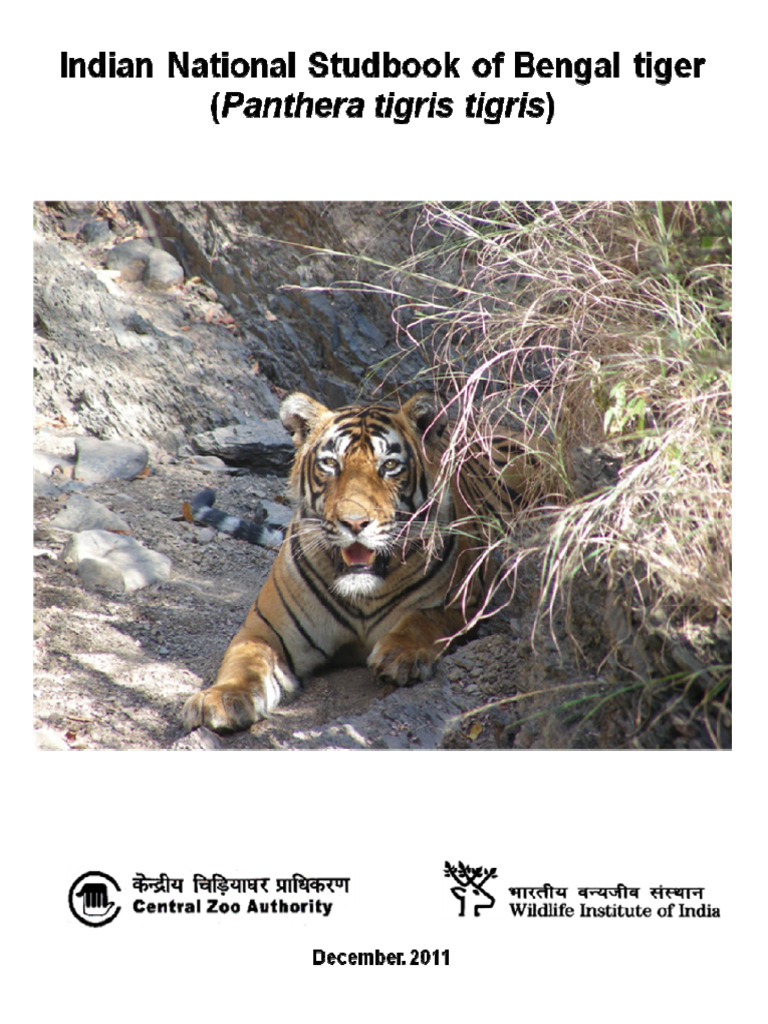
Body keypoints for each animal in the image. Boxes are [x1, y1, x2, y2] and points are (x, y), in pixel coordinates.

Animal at [182, 390, 534, 733]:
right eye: (330, 463)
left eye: (389, 465)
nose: (354, 522)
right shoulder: (265, 629)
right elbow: (246, 660)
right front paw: (223, 698)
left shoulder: (465, 601)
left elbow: (423, 618)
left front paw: (400, 655)